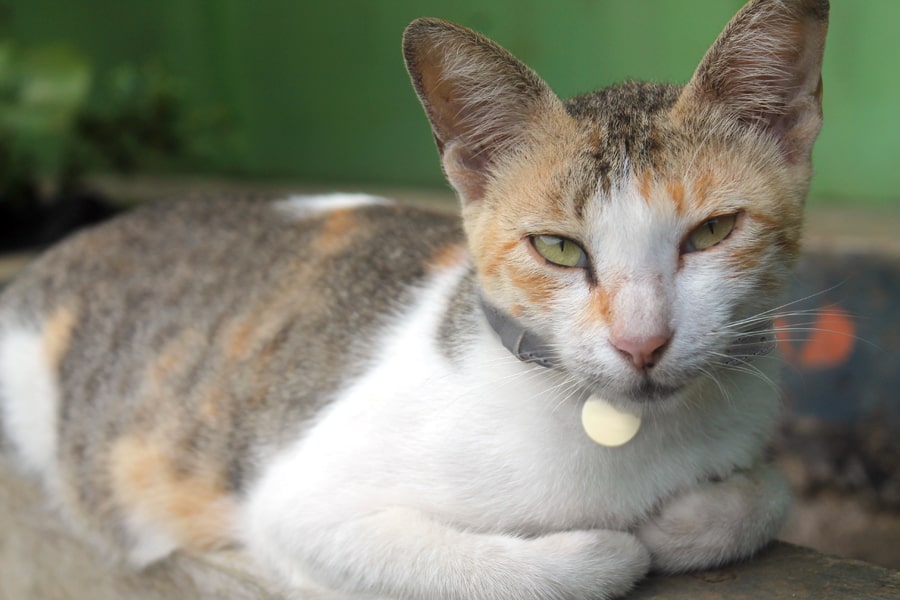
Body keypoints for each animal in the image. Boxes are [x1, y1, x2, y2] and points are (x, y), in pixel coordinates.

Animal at [0, 0, 828, 596]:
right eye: (558, 248)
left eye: (712, 231)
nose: (642, 341)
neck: (622, 434)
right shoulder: (296, 510)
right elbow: (490, 569)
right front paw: (606, 549)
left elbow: (773, 492)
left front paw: (691, 520)